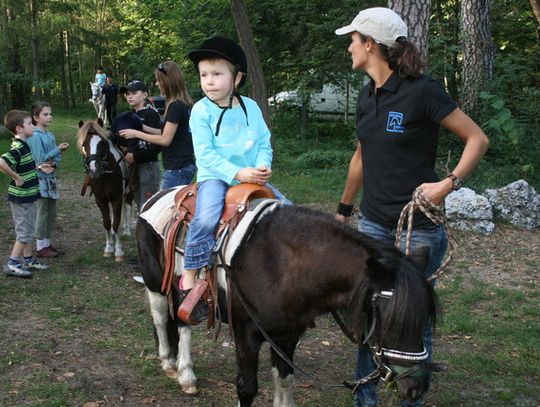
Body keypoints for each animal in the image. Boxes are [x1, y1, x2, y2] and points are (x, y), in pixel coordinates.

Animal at [137, 193, 436, 406]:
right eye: (389, 320)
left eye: (423, 319)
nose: (416, 386)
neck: (281, 266)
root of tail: (155, 197)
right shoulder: (246, 335)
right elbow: (247, 387)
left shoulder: (287, 335)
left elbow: (285, 380)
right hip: (155, 283)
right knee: (164, 319)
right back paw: (173, 365)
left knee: (181, 323)